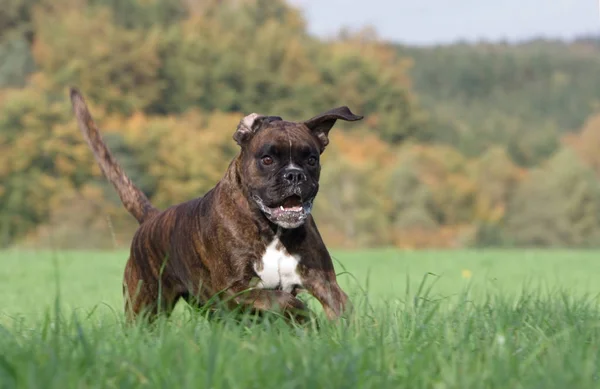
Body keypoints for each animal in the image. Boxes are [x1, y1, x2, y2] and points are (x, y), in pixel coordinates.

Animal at [68, 86, 364, 322]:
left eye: (311, 159)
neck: (271, 229)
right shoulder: (233, 292)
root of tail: (152, 217)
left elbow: (340, 309)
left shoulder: (323, 282)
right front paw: (305, 317)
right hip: (146, 308)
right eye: (267, 159)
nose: (294, 175)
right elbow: (281, 300)